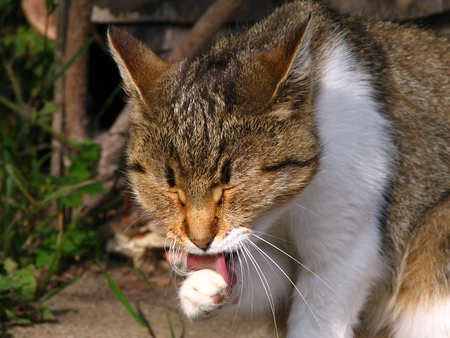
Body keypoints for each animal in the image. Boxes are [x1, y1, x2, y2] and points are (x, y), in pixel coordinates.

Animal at [108, 1, 450, 336]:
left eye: (230, 183)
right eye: (171, 186)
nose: (201, 243)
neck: (283, 212)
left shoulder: (344, 250)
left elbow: (316, 322)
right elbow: (266, 282)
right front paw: (201, 287)